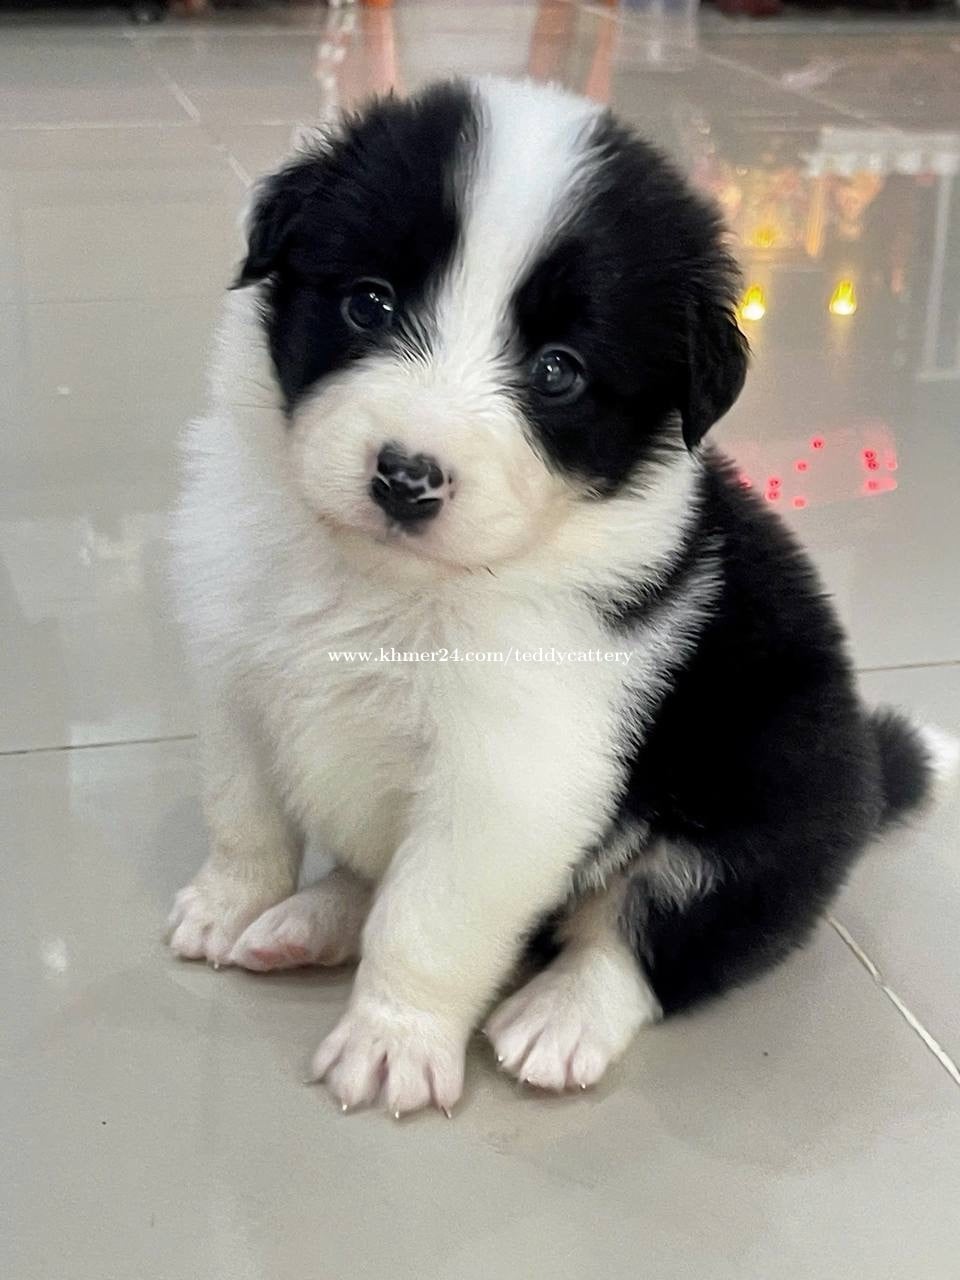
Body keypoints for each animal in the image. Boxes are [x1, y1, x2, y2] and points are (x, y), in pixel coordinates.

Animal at [168, 77, 942, 1117]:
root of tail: (867, 769)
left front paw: (392, 1040)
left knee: (651, 931)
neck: (387, 585)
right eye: (369, 303)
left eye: (557, 371)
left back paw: (562, 1014)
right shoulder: (234, 663)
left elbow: (429, 915)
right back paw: (308, 921)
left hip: (776, 791)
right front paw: (229, 903)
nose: (406, 478)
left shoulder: (508, 774)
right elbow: (244, 812)